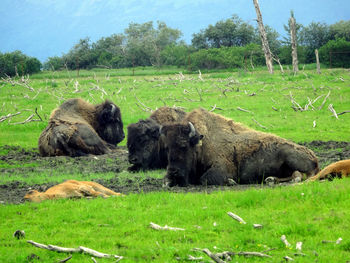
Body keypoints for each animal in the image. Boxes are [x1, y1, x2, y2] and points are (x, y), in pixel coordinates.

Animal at [160, 109, 318, 188]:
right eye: (167, 148)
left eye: (184, 145)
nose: (173, 172)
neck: (202, 143)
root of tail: (313, 156)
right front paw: (168, 182)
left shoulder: (221, 167)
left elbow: (204, 179)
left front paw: (231, 182)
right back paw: (271, 179)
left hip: (292, 158)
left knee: (301, 175)